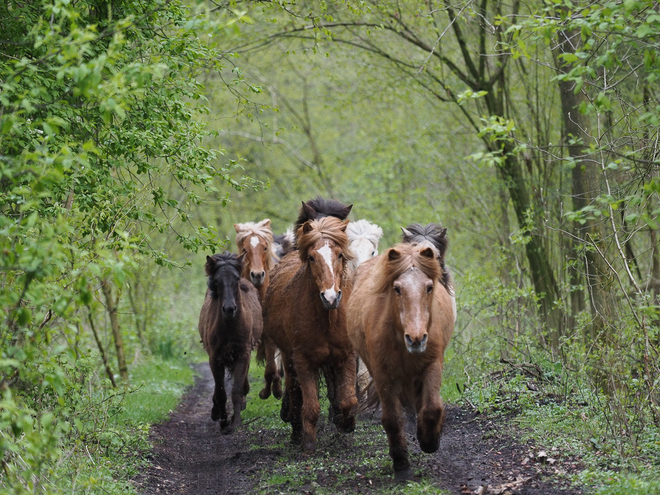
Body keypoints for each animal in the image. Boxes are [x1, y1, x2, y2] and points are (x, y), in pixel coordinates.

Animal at [197, 254, 262, 432]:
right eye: (217, 280)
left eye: (236, 279)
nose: (229, 309)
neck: (229, 325)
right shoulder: (215, 357)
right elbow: (220, 392)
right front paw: (223, 419)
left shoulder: (243, 355)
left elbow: (237, 390)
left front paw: (235, 422)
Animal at [233, 219, 282, 402]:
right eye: (245, 249)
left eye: (265, 248)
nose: (257, 275)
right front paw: (244, 388)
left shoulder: (269, 336)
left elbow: (271, 368)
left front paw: (272, 391)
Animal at [260, 217, 358, 454]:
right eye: (312, 258)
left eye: (339, 255)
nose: (330, 297)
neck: (327, 319)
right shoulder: (304, 361)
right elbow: (311, 406)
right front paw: (309, 443)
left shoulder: (347, 356)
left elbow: (348, 400)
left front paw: (346, 423)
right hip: (289, 358)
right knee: (295, 393)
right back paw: (296, 431)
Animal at [346, 244, 454, 480]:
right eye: (397, 288)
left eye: (429, 287)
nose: (416, 338)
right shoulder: (383, 374)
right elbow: (392, 419)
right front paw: (401, 464)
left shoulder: (432, 366)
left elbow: (431, 408)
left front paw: (429, 441)